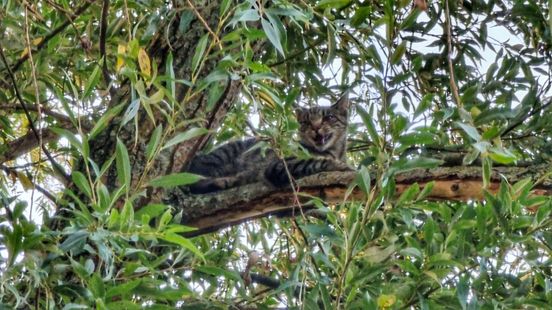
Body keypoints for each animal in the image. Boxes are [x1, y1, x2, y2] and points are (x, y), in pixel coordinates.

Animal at [184, 94, 350, 194]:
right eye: (306, 122)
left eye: (329, 117)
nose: (315, 127)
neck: (332, 151)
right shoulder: (279, 165)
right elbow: (314, 162)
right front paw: (340, 166)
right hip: (227, 151)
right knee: (193, 180)